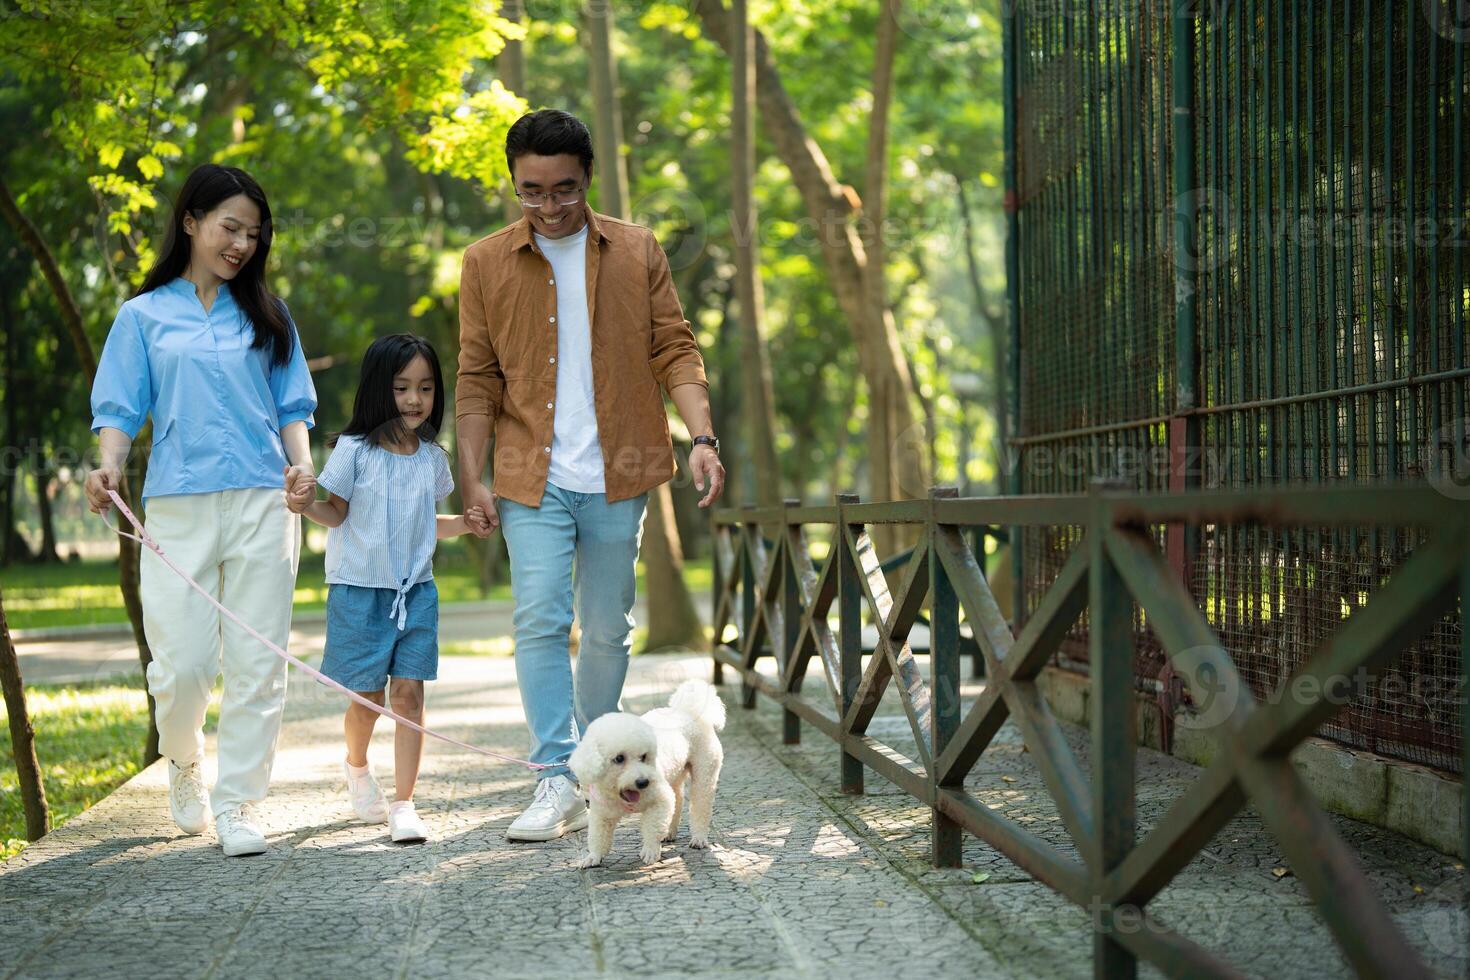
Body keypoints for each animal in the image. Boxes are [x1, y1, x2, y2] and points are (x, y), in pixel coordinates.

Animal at [564, 678, 726, 869]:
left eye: (644, 757)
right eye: (619, 758)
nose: (643, 782)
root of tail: (690, 711)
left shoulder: (660, 801)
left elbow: (652, 828)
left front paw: (650, 850)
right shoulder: (601, 813)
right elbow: (598, 836)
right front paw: (593, 857)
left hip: (705, 771)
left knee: (701, 805)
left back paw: (699, 837)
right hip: (674, 773)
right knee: (678, 799)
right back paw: (670, 832)